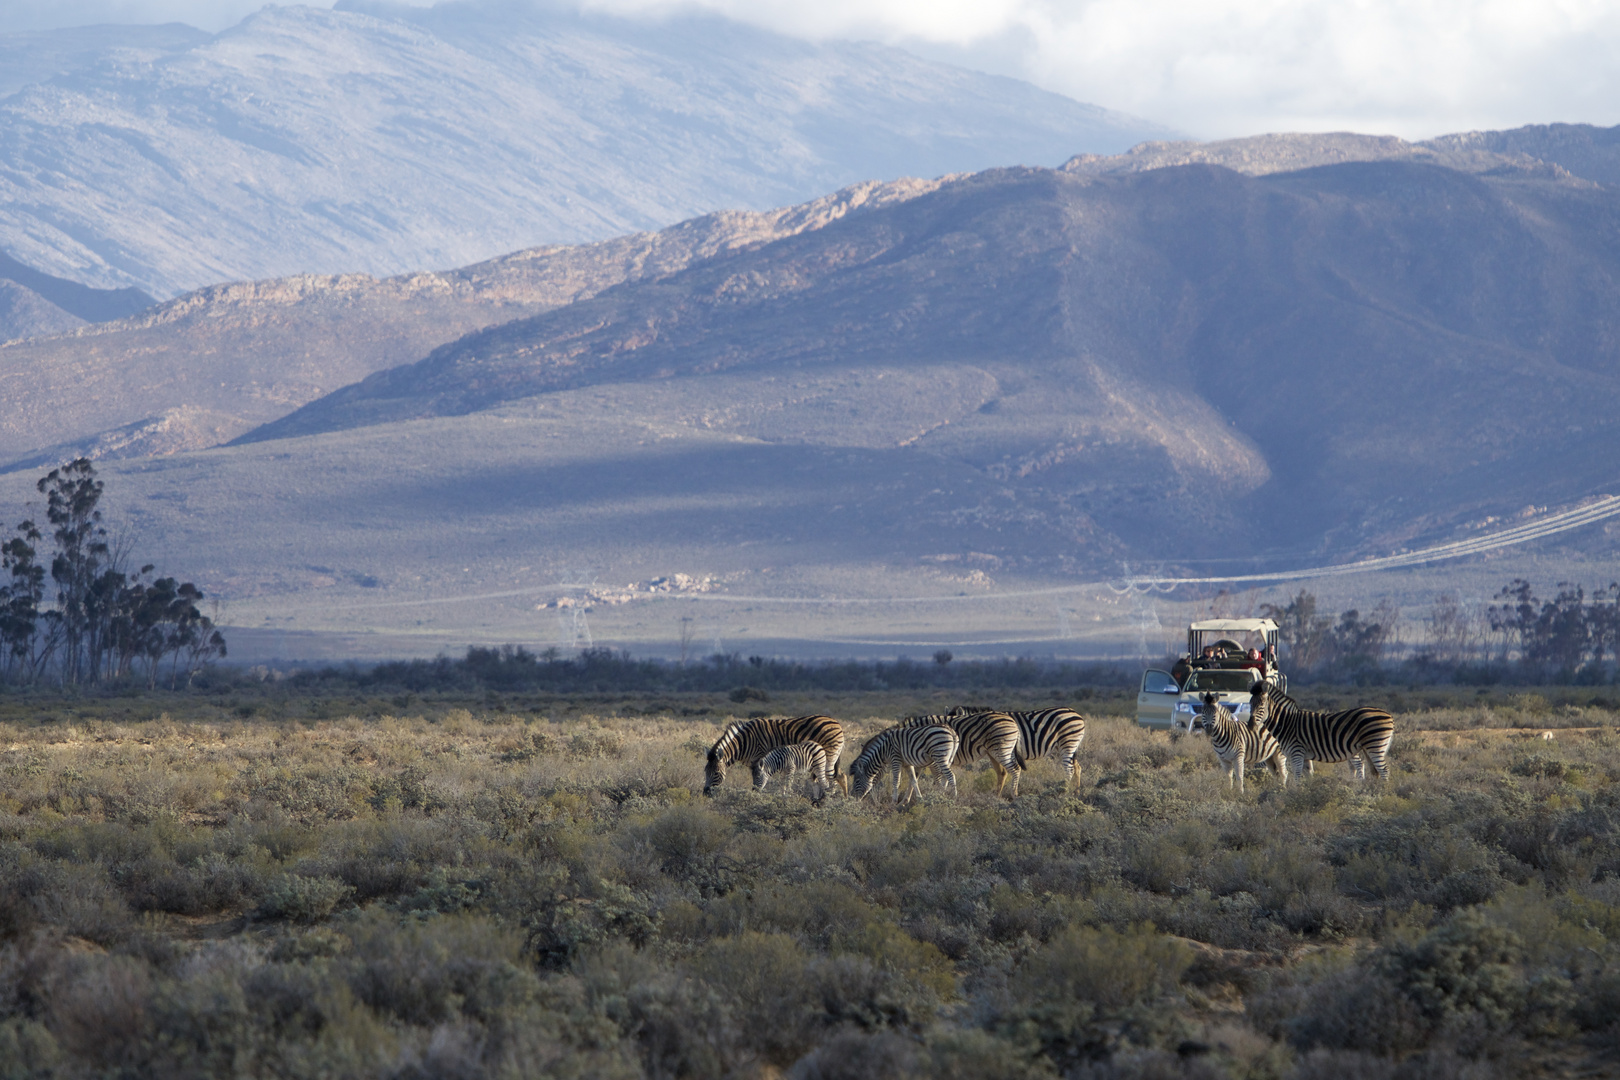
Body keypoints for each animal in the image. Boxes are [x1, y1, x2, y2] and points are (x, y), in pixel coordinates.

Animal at [706, 712, 848, 799]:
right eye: (705, 772)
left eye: (716, 773)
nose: (705, 793)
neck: (744, 743)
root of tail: (836, 722)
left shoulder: (759, 759)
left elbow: (759, 779)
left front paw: (756, 795)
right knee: (841, 776)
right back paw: (843, 799)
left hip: (829, 755)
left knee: (831, 778)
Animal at [1244, 683, 1399, 786]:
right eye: (1250, 704)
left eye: (1261, 705)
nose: (1250, 725)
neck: (1287, 723)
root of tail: (1389, 715)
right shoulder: (1305, 756)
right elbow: (1308, 776)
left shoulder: (1296, 752)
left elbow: (1296, 777)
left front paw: (1294, 794)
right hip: (1367, 748)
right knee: (1374, 770)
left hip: (1375, 745)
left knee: (1384, 770)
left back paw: (1382, 793)